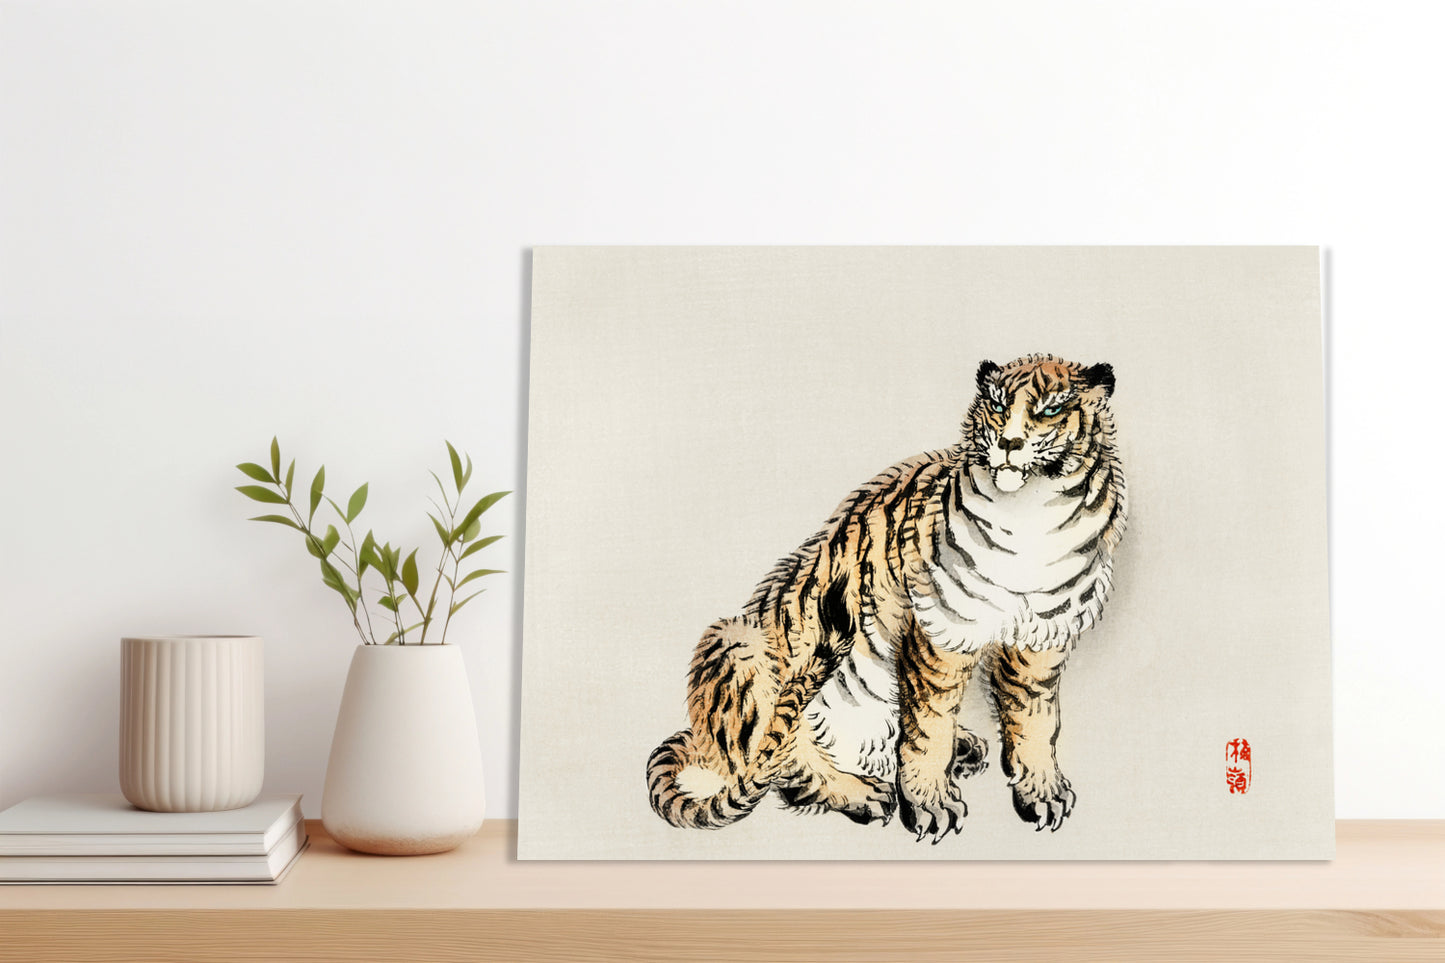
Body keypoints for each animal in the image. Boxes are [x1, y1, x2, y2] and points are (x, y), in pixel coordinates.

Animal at [646, 354, 1127, 843]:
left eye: (1051, 410)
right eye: (996, 405)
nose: (1009, 443)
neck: (1034, 514)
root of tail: (700, 741)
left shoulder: (1041, 640)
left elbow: (1036, 720)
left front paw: (1042, 792)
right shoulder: (939, 635)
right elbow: (928, 728)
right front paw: (931, 806)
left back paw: (964, 746)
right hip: (736, 641)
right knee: (782, 763)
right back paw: (863, 792)